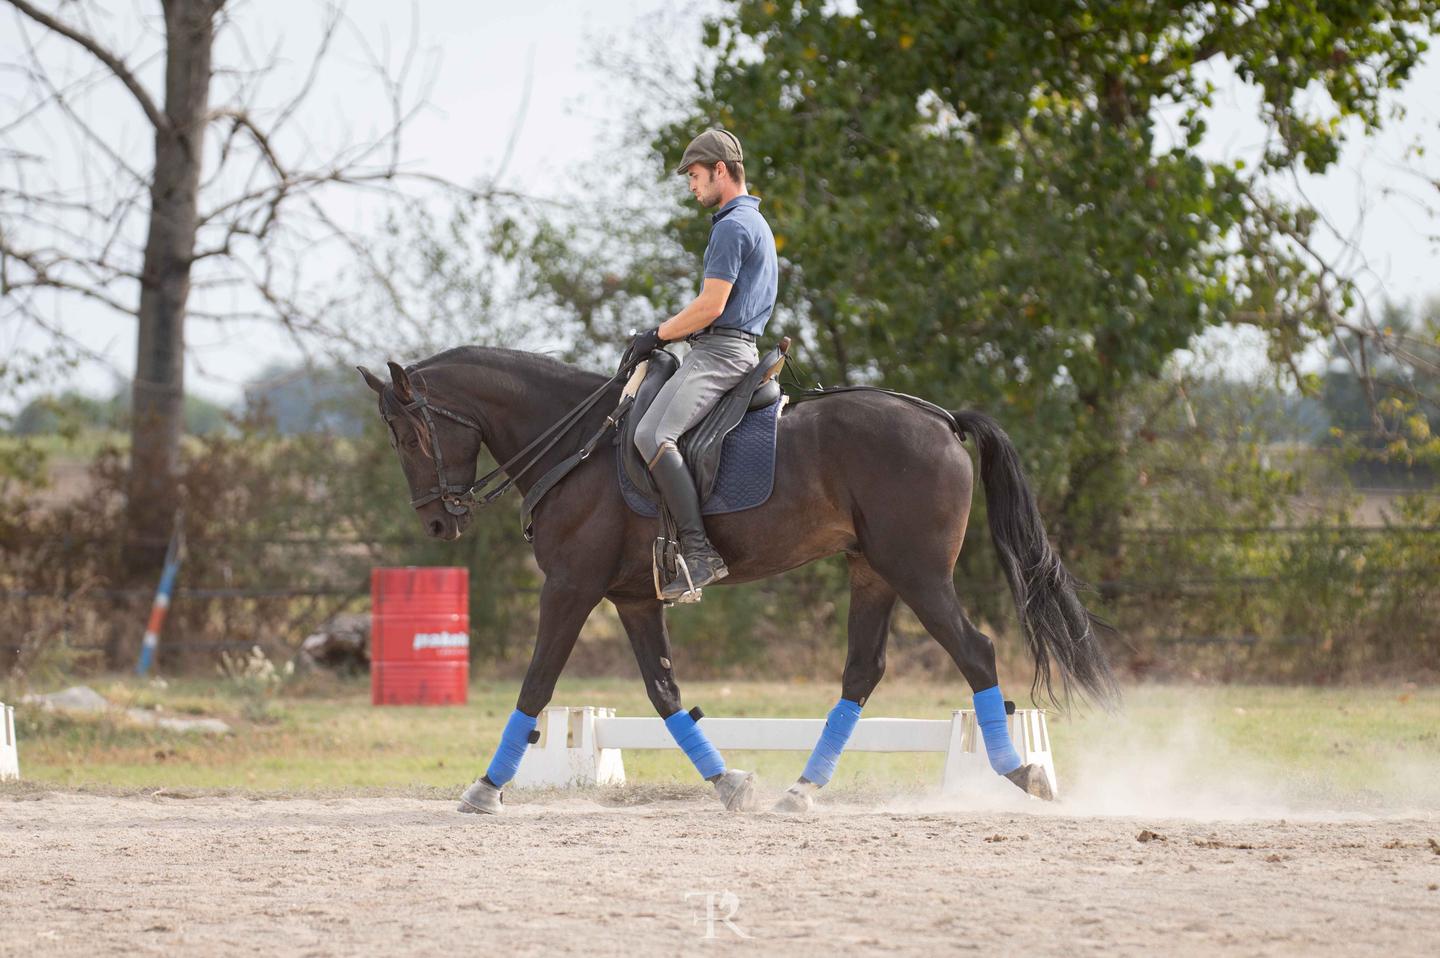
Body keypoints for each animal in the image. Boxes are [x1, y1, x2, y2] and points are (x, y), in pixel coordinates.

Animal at [357, 347, 1111, 812]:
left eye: (409, 435)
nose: (436, 524)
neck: (576, 444)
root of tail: (943, 419)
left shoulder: (570, 588)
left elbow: (536, 686)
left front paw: (485, 787)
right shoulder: (633, 599)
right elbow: (664, 694)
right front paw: (729, 783)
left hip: (917, 573)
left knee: (975, 653)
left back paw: (1021, 771)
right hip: (873, 573)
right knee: (862, 671)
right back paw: (801, 790)